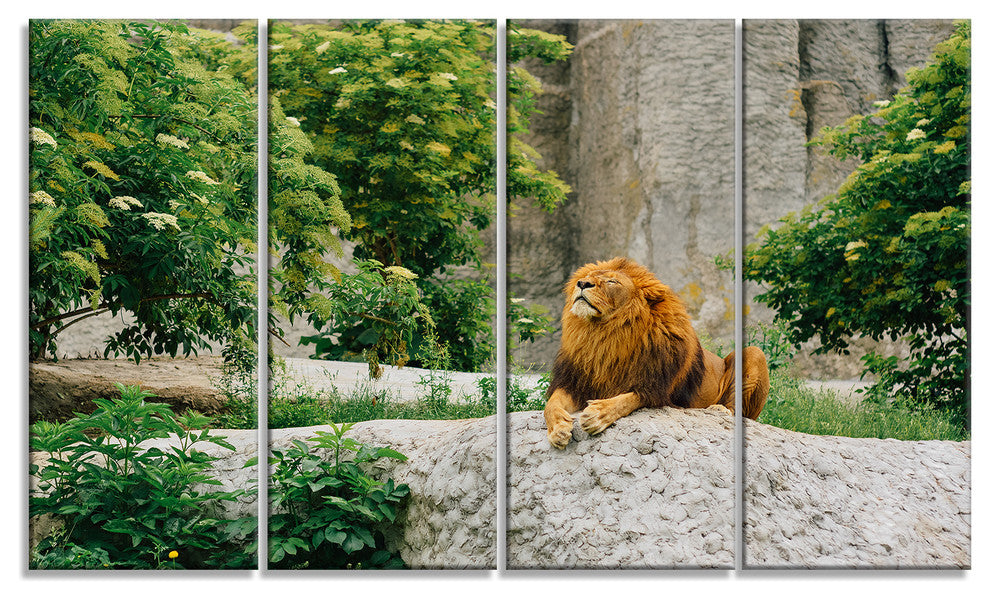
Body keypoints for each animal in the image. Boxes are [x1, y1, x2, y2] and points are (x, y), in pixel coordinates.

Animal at [544, 257, 770, 449]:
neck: (604, 336)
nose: (582, 283)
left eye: (612, 281)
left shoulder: (656, 389)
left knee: (737, 408)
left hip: (754, 353)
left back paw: (719, 409)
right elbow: (551, 404)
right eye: (588, 276)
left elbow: (626, 400)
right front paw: (558, 429)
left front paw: (597, 414)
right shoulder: (574, 382)